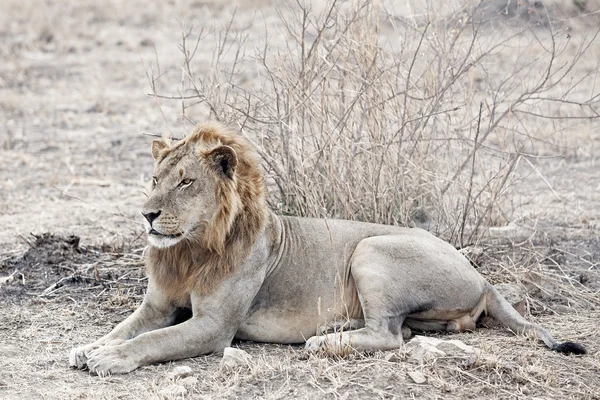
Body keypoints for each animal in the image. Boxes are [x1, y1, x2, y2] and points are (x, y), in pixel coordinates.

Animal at [69, 122, 584, 376]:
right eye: (155, 179)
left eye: (186, 183)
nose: (147, 215)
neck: (189, 250)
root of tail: (479, 273)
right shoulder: (156, 306)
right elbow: (124, 329)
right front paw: (90, 347)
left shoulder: (214, 327)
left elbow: (152, 341)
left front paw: (109, 359)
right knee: (406, 331)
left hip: (371, 249)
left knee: (389, 336)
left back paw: (323, 341)